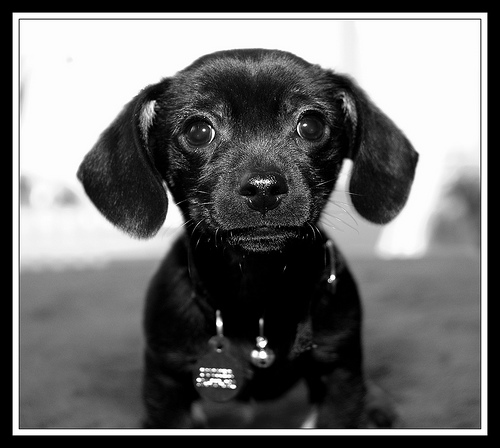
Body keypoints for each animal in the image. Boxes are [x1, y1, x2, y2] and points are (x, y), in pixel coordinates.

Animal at [76, 48, 416, 428]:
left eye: (311, 125)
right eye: (198, 131)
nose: (264, 188)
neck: (256, 294)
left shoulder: (339, 374)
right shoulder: (166, 384)